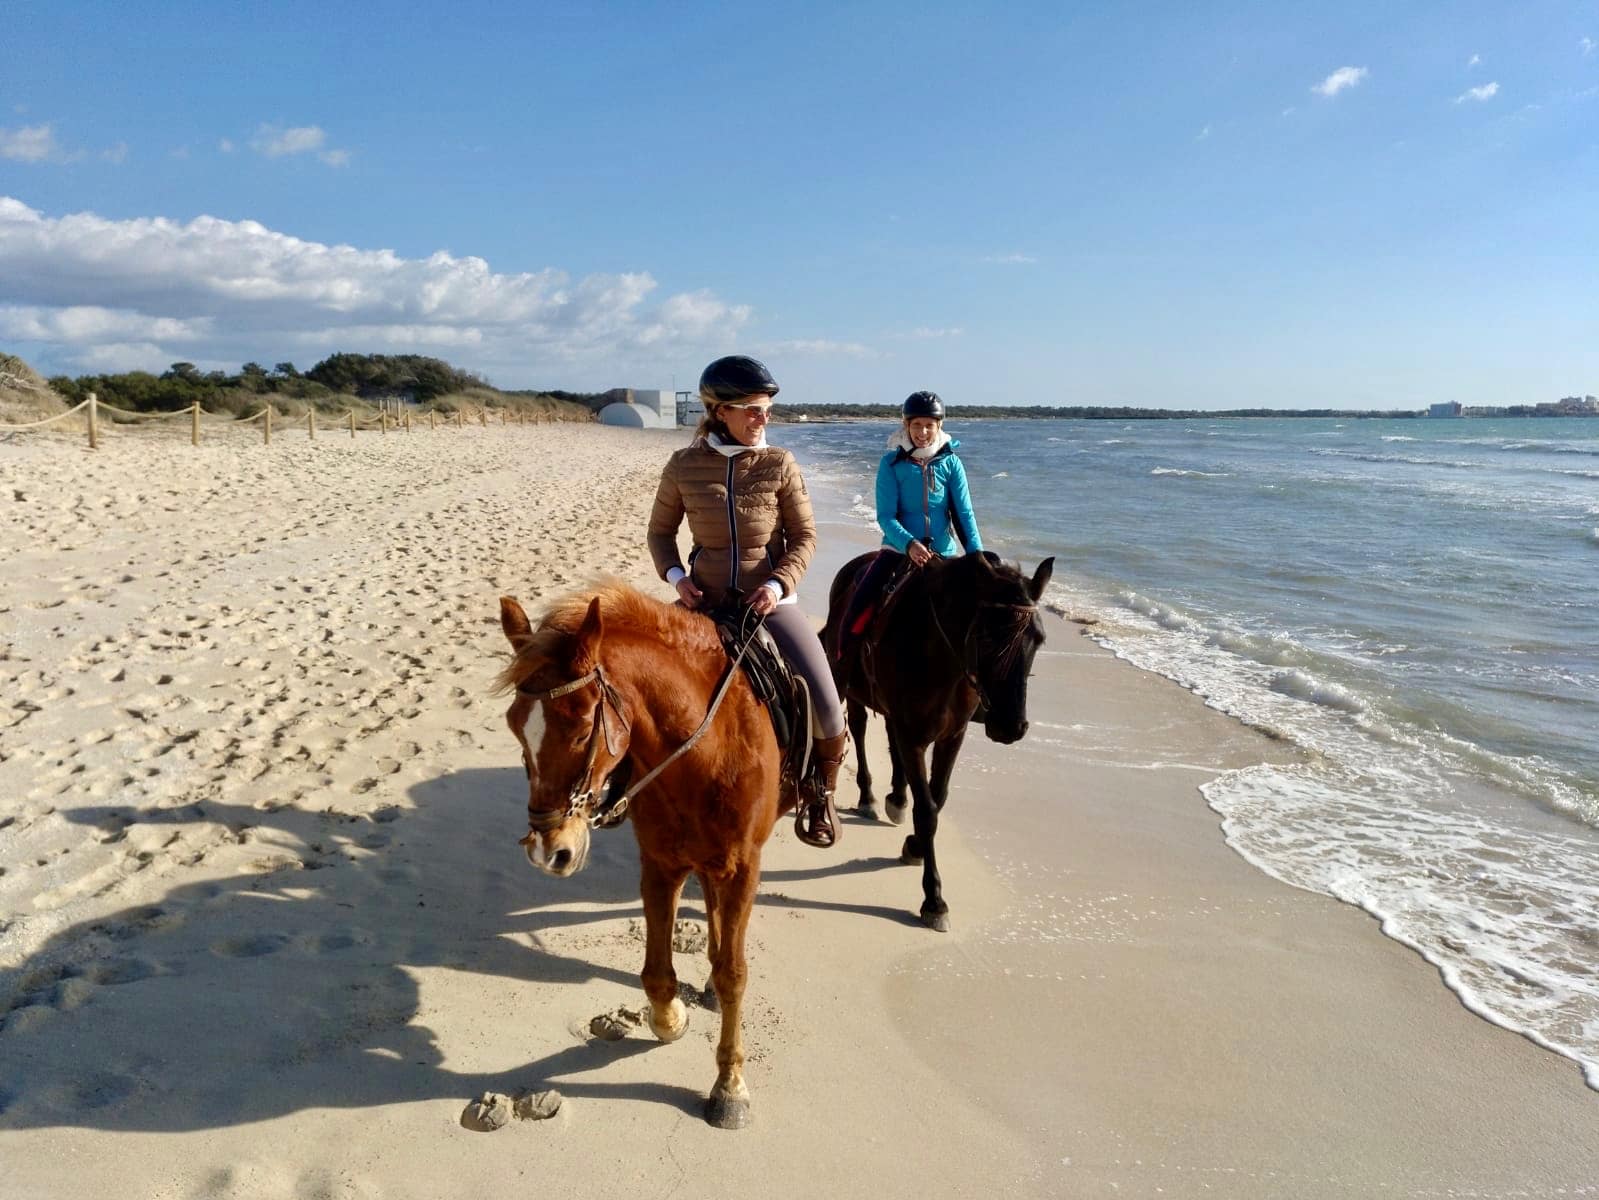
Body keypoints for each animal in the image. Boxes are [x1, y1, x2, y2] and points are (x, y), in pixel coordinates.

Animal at [486, 588, 786, 1132]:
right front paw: (671, 1020)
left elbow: (734, 973)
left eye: (582, 729)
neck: (705, 751)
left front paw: (729, 1087)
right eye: (516, 728)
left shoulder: (741, 869)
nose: (548, 850)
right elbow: (655, 973)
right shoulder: (660, 863)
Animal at [825, 550, 1048, 934]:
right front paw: (934, 900)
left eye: (1038, 638)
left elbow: (938, 797)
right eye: (987, 636)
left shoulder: (951, 735)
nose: (1009, 726)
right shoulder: (913, 735)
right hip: (850, 685)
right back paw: (868, 796)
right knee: (860, 727)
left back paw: (896, 798)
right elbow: (927, 810)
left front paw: (913, 845)